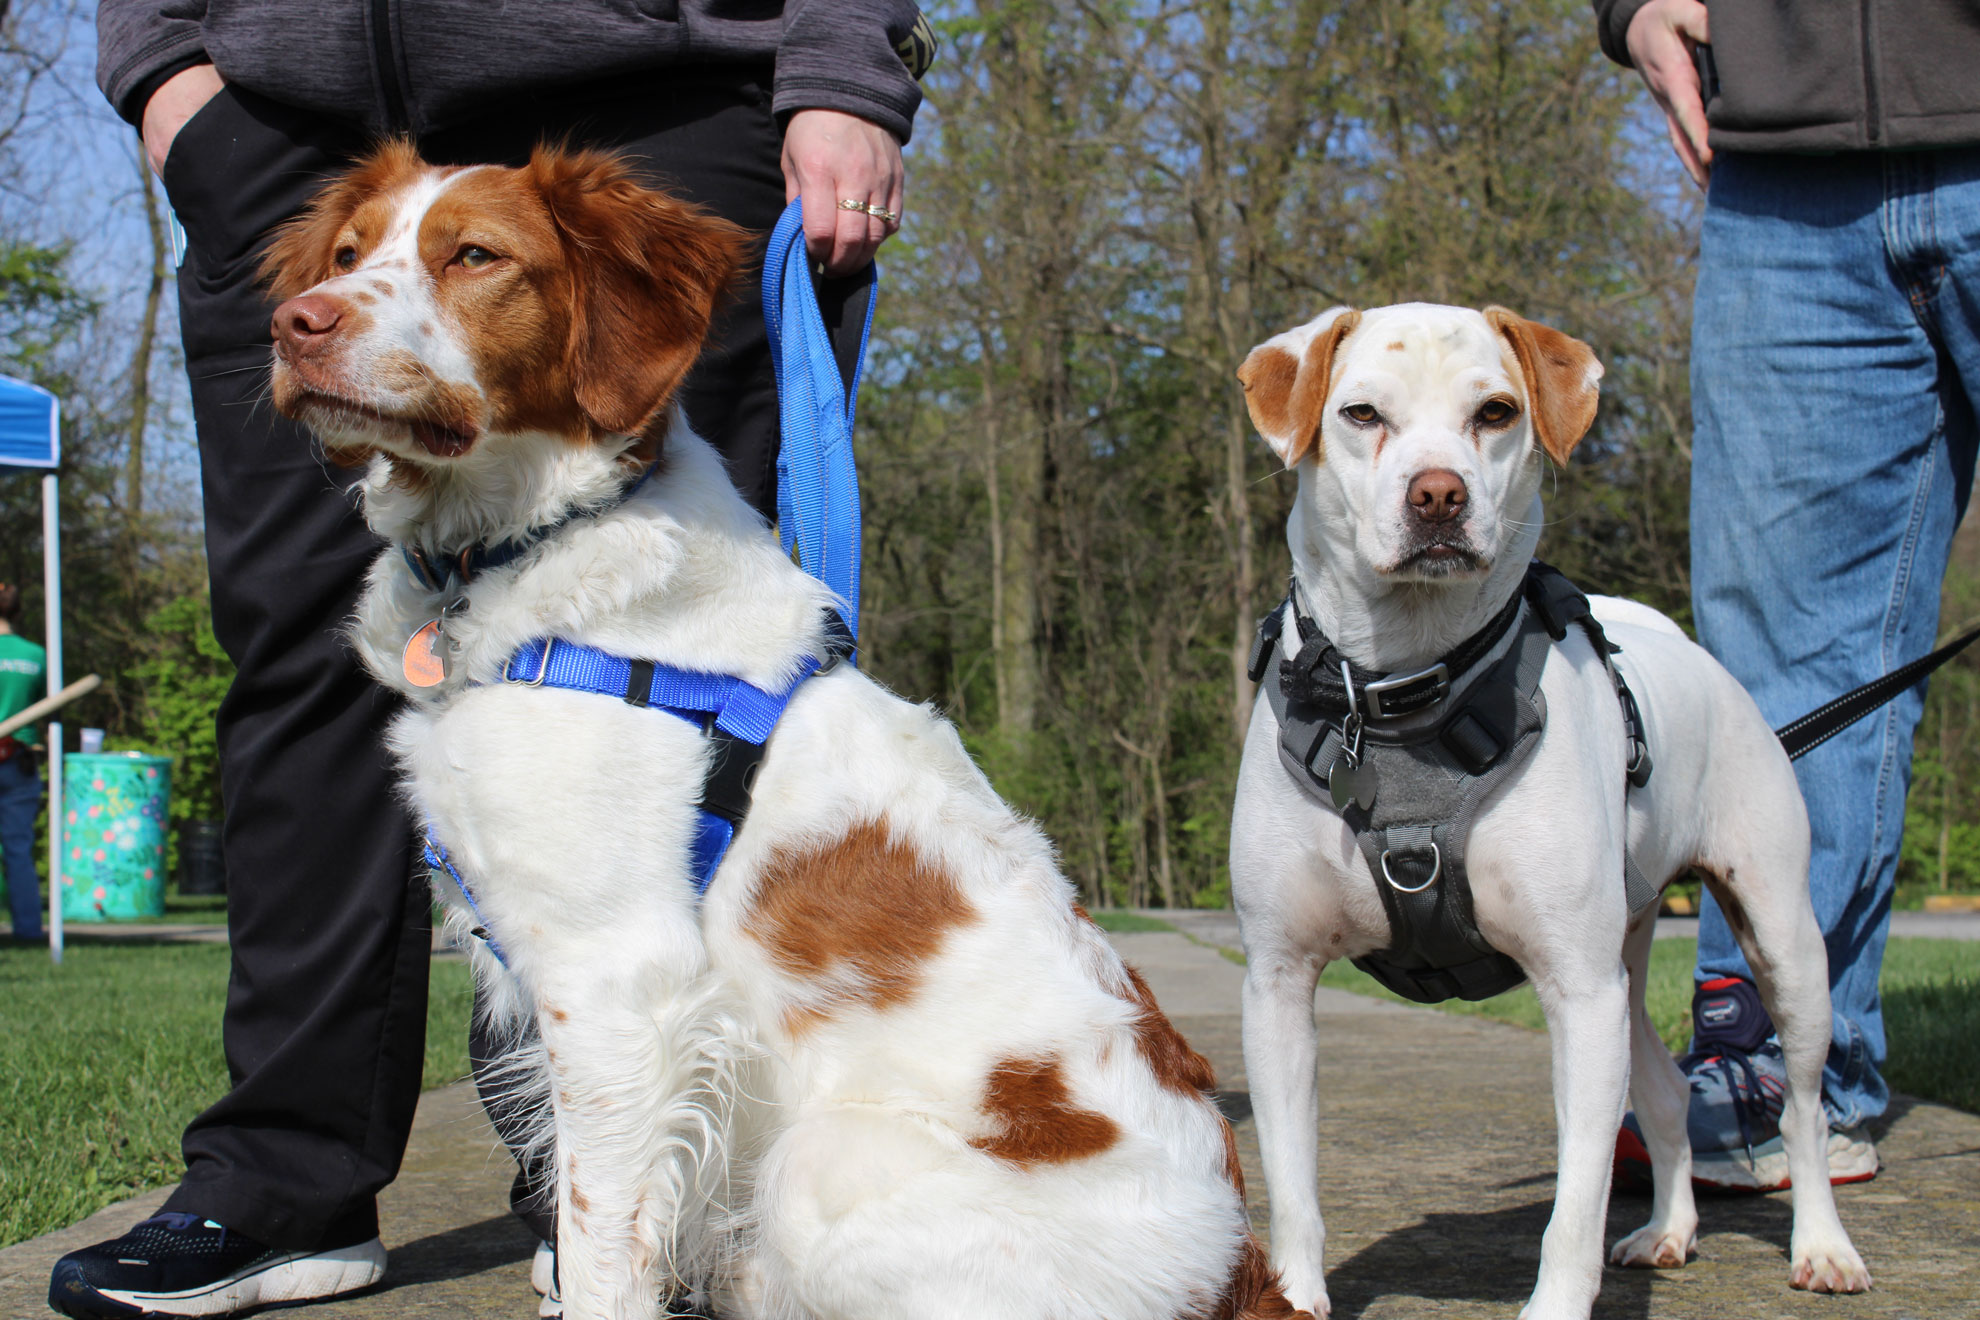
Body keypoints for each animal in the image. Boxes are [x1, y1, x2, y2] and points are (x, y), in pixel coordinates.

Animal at [1227, 304, 1861, 1314]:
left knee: (1801, 1110)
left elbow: (1575, 1200)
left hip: (1783, 945)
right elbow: (1292, 1181)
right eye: (1361, 413)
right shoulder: (1278, 983)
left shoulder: (1578, 991)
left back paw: (1824, 1247)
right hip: (1629, 963)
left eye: (1496, 412)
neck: (1405, 693)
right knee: (1667, 1095)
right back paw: (1669, 1230)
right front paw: (1292, 1294)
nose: (1438, 496)